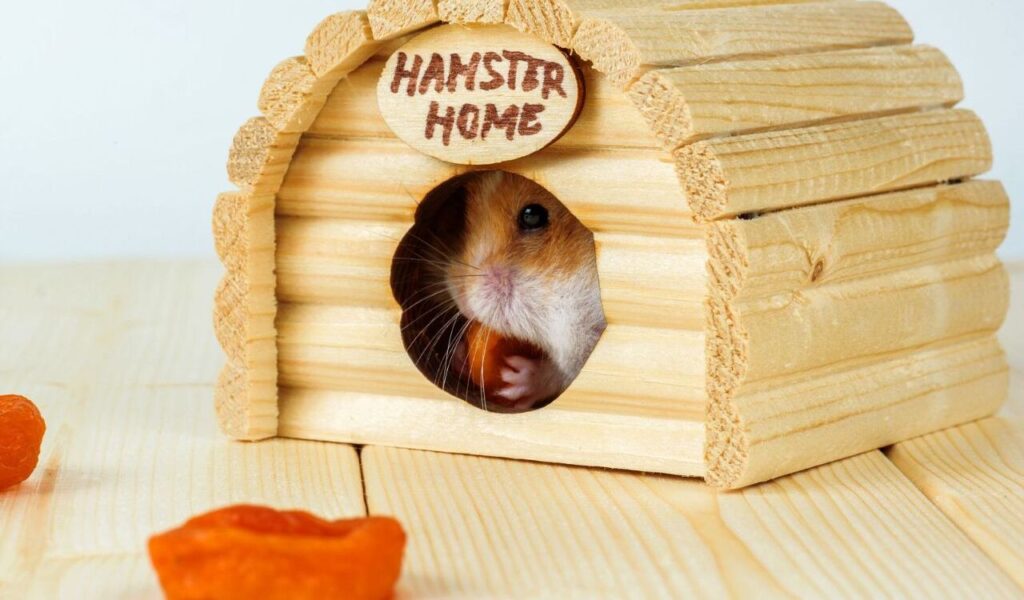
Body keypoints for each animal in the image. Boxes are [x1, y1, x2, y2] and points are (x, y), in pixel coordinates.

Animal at [440, 171, 606, 411]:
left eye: (532, 216)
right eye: (463, 204)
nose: (464, 305)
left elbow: (565, 371)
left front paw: (515, 378)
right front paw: (459, 356)